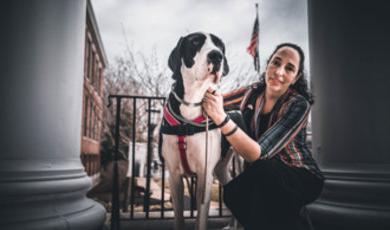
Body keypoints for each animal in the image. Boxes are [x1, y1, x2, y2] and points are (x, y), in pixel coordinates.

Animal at [161, 32, 232, 230]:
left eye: (219, 45)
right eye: (194, 42)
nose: (217, 56)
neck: (192, 101)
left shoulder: (205, 175)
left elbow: (200, 218)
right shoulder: (174, 175)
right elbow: (178, 217)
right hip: (221, 170)